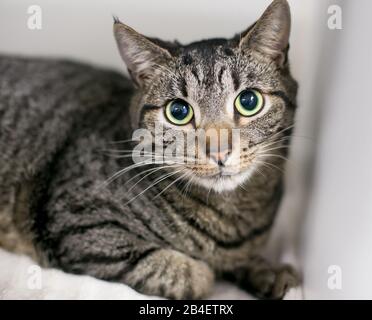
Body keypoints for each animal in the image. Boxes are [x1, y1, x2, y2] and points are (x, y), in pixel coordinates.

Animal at [0, 0, 300, 300]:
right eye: (178, 111)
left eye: (249, 101)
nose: (218, 151)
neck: (230, 218)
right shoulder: (80, 224)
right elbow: (189, 274)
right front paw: (209, 270)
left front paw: (269, 272)